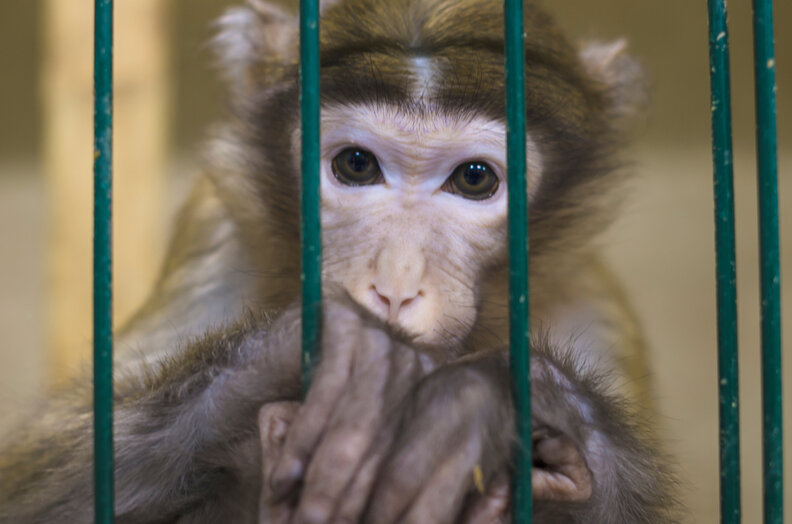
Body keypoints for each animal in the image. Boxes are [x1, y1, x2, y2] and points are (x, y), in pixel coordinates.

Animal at [0, 0, 665, 521]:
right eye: (356, 165)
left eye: (475, 178)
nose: (396, 287)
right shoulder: (215, 239)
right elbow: (46, 492)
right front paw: (336, 348)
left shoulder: (591, 309)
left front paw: (487, 396)